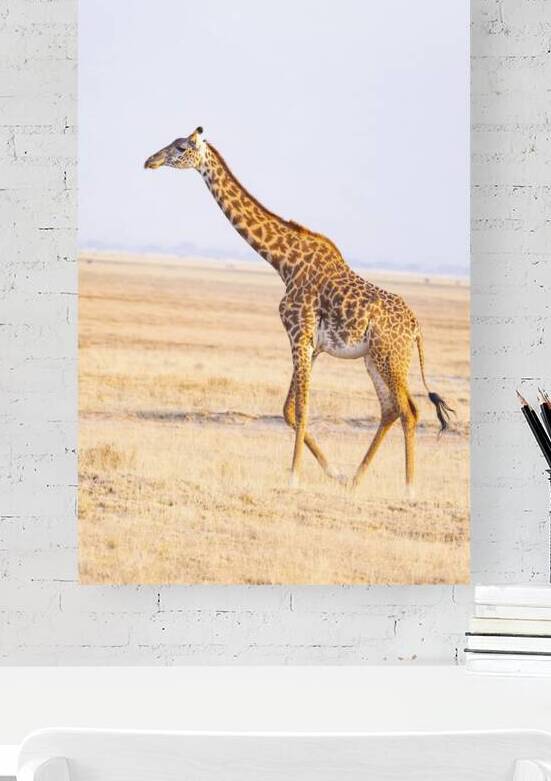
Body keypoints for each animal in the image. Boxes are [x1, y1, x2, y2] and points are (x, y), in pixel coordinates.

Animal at [145, 127, 453, 491]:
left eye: (180, 147)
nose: (150, 161)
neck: (283, 262)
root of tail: (416, 327)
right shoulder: (311, 344)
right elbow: (289, 410)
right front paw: (332, 471)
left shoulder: (298, 333)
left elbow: (302, 409)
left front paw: (294, 477)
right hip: (373, 359)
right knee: (391, 409)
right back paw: (354, 479)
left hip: (390, 357)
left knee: (409, 410)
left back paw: (408, 488)